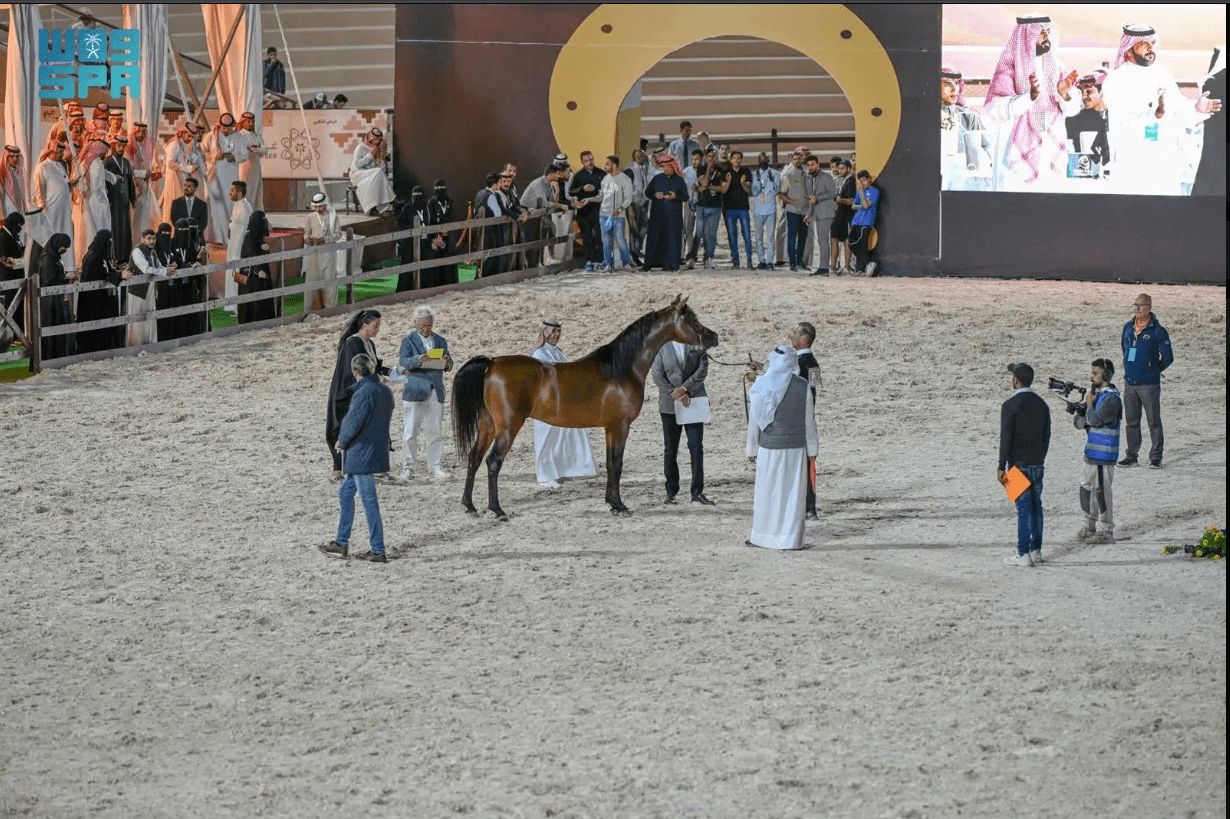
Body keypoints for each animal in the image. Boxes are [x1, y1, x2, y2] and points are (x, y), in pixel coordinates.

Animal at [452, 296, 718, 518]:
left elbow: (611, 463)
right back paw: (497, 510)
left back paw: (470, 505)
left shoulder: (610, 428)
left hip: (488, 425)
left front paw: (612, 503)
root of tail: (492, 363)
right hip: (507, 428)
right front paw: (620, 506)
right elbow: (617, 463)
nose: (713, 336)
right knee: (493, 461)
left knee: (474, 457)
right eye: (691, 319)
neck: (622, 368)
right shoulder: (620, 426)